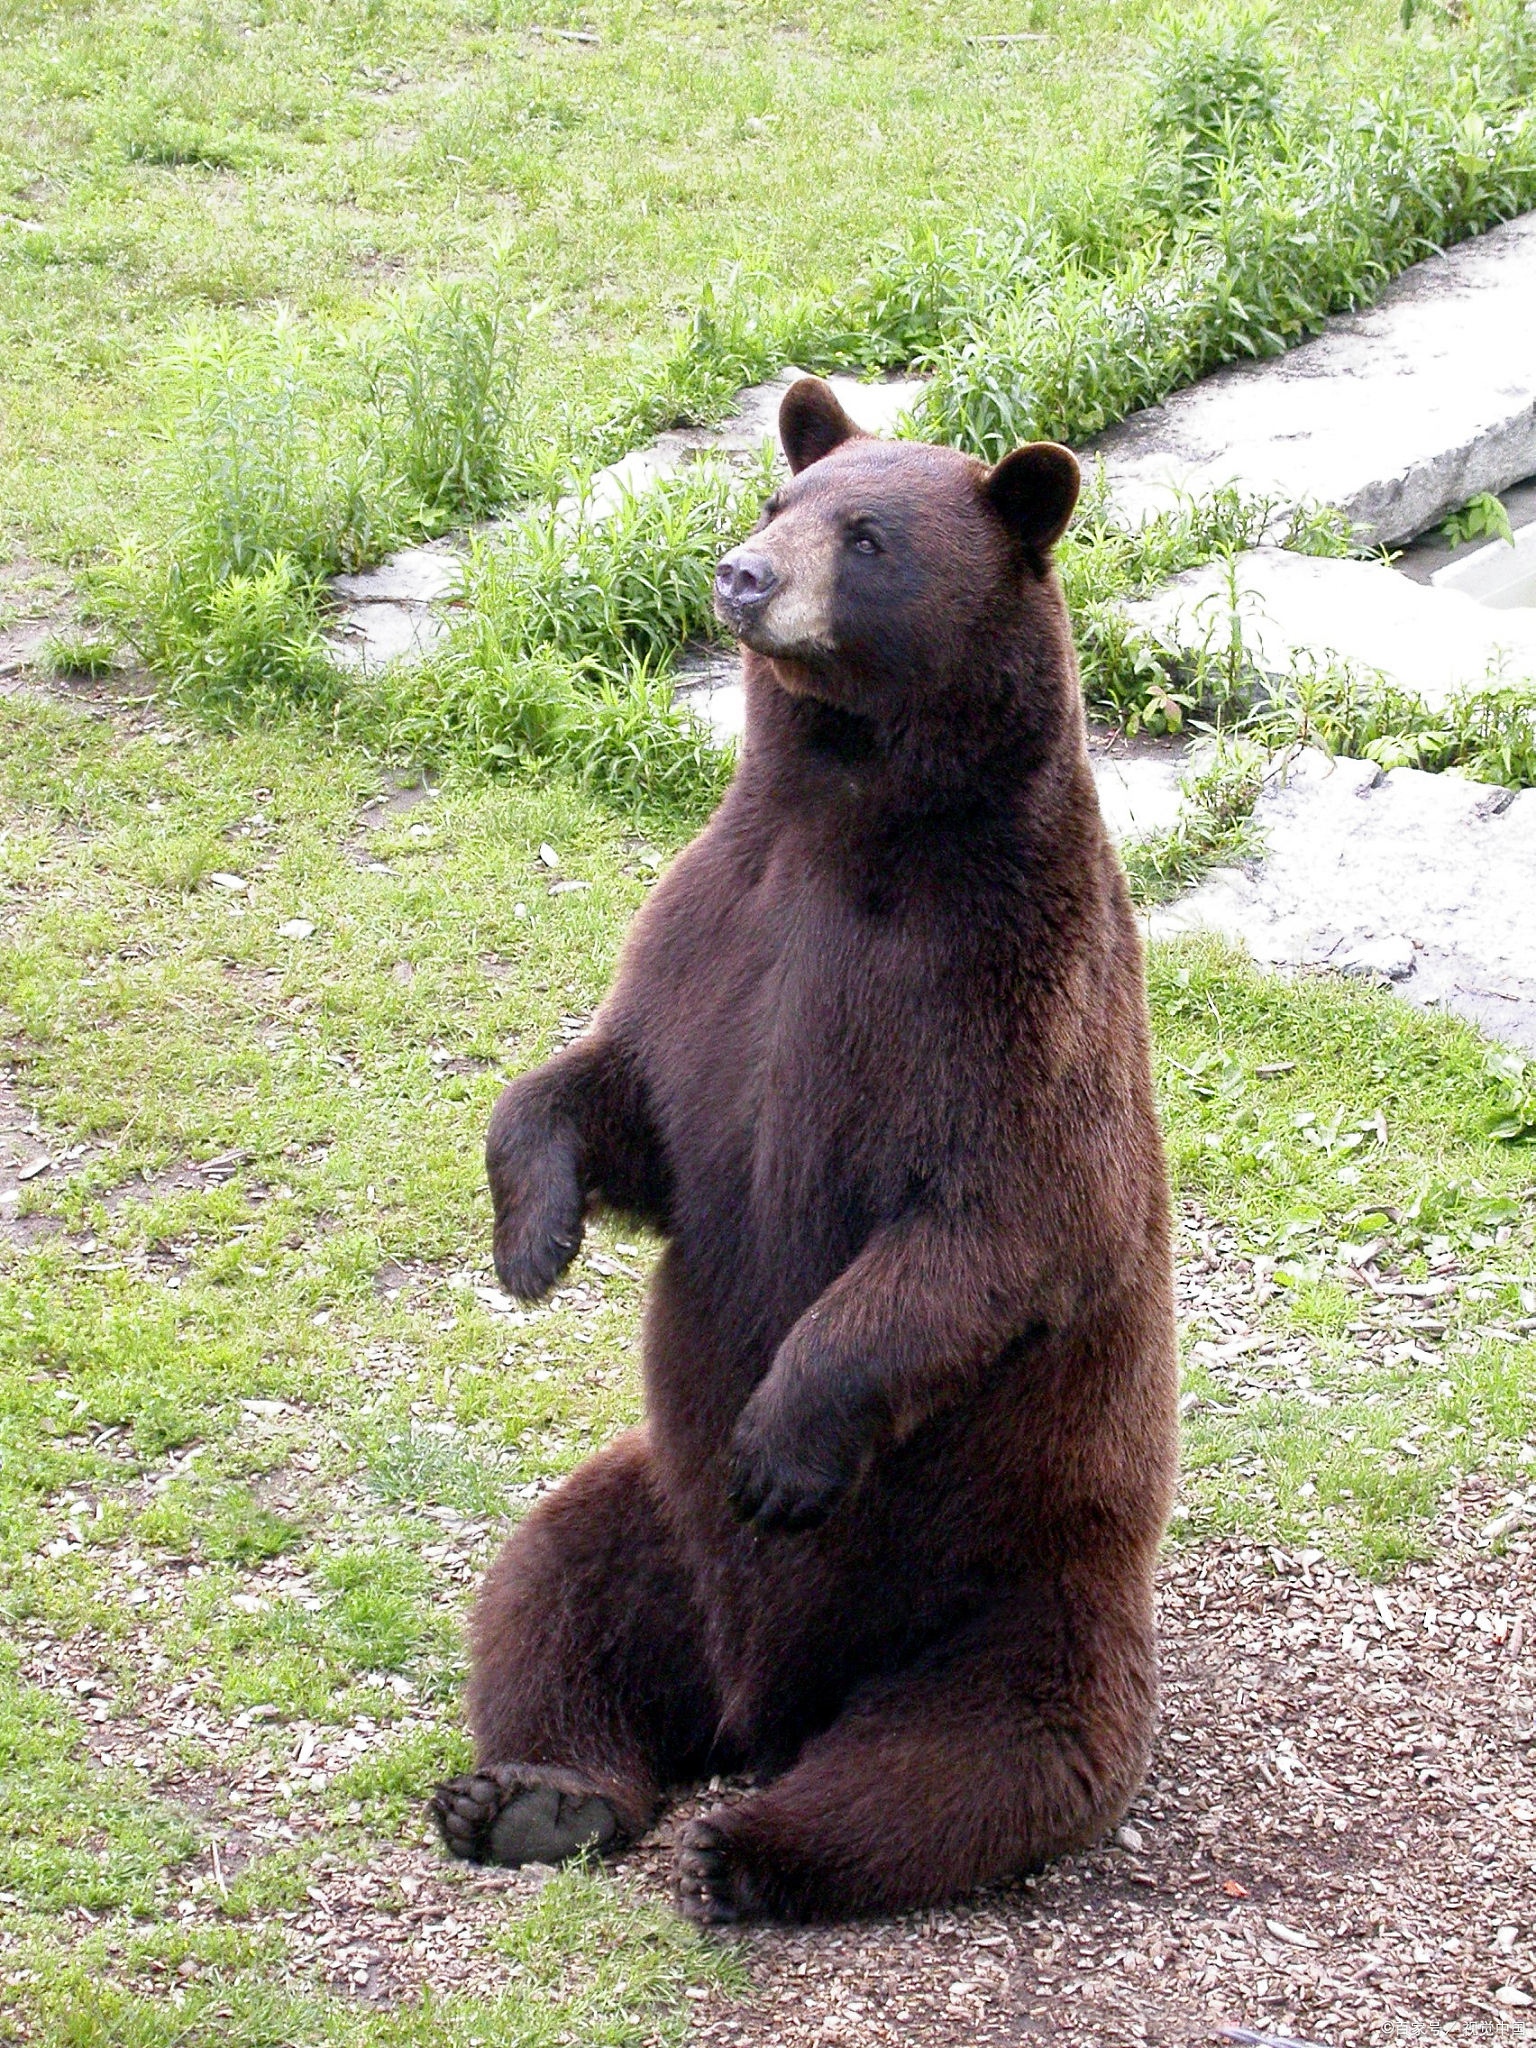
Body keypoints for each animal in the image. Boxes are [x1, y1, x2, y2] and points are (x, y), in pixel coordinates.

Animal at [431, 376, 1178, 1925]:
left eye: (873, 536)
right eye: (781, 499)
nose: (742, 576)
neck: (849, 820)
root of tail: (759, 1706)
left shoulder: (1002, 991)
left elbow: (1003, 1222)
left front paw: (784, 1444)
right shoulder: (719, 937)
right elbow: (620, 1095)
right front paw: (532, 1238)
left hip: (1010, 1578)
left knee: (980, 1750)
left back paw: (750, 1847)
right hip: (655, 1504)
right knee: (550, 1590)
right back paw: (532, 1793)